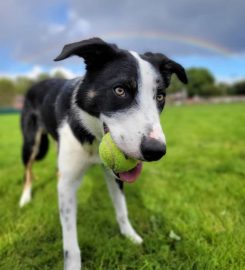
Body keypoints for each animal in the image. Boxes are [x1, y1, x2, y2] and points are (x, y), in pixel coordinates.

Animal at [19, 38, 188, 270]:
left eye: (160, 96)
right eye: (120, 90)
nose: (156, 151)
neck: (92, 135)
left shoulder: (114, 175)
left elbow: (122, 208)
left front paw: (130, 236)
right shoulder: (67, 185)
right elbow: (70, 243)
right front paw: (73, 265)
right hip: (31, 143)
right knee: (28, 170)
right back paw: (25, 198)